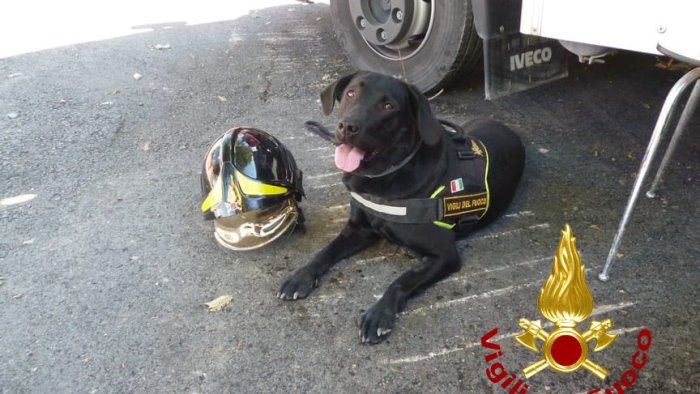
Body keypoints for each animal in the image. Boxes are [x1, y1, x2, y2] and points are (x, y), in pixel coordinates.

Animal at [276, 72, 524, 344]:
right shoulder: (358, 229)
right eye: (351, 93)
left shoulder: (444, 254)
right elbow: (326, 251)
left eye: (388, 106)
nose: (347, 126)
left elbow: (402, 281)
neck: (385, 178)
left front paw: (379, 314)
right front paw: (302, 276)